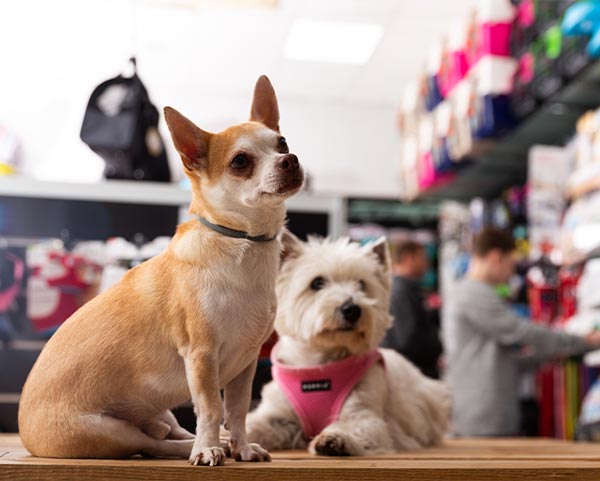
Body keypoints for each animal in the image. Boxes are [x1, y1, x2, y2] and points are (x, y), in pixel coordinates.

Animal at [246, 232, 448, 454]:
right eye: (317, 283)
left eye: (362, 284)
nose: (352, 309)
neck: (320, 364)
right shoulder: (277, 413)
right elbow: (255, 423)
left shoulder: (363, 412)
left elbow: (353, 425)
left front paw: (334, 439)